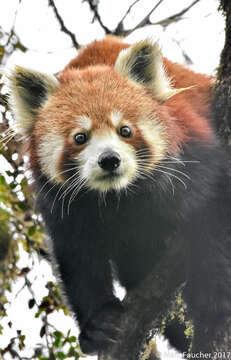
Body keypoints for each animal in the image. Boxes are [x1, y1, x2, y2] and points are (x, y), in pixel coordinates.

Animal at [6, 36, 231, 354]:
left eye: (125, 130)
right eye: (80, 137)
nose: (109, 160)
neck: (119, 196)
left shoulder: (194, 153)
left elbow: (212, 213)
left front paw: (211, 291)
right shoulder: (64, 206)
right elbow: (79, 259)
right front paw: (97, 323)